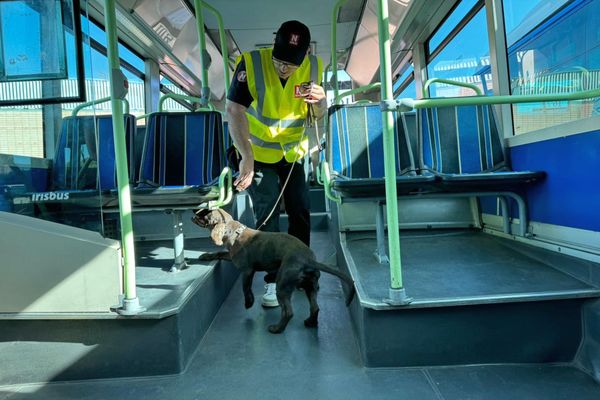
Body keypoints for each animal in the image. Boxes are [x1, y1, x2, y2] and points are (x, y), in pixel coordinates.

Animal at [192, 208, 354, 332]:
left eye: (205, 212)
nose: (193, 211)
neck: (235, 232)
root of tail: (309, 260)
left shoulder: (247, 270)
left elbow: (246, 288)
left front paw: (249, 303)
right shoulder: (231, 256)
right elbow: (219, 253)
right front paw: (205, 255)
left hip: (282, 285)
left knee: (288, 312)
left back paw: (277, 329)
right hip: (310, 287)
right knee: (315, 308)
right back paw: (310, 322)